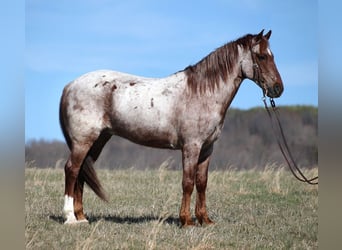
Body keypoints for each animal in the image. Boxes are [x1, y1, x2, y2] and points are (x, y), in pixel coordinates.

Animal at [59, 29, 284, 225]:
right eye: (261, 57)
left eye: (272, 55)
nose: (278, 88)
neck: (202, 92)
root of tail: (70, 85)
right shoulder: (191, 147)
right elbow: (188, 182)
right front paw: (186, 221)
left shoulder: (207, 148)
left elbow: (202, 182)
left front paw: (205, 220)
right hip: (83, 141)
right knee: (72, 169)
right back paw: (70, 218)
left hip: (97, 141)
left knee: (81, 172)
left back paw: (82, 217)